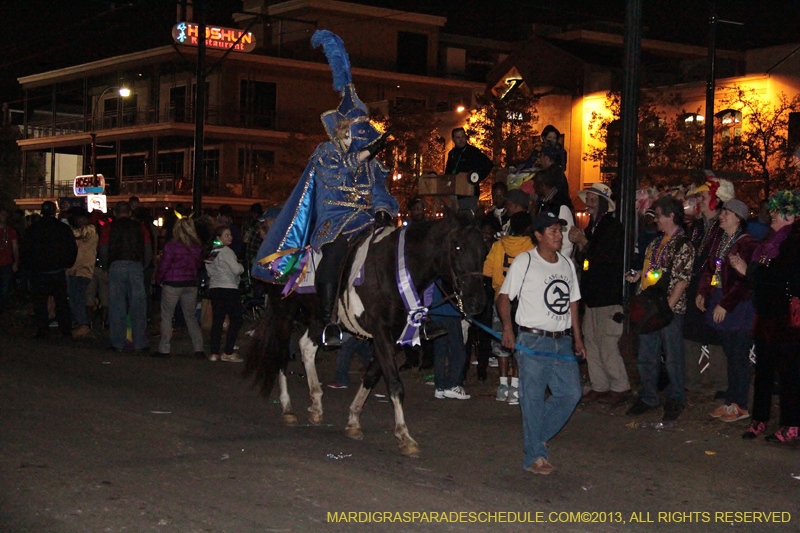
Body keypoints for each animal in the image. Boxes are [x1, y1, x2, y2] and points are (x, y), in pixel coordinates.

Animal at [242, 214, 488, 456]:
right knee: (282, 354)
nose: (476, 302)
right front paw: (405, 437)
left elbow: (371, 376)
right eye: (457, 246)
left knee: (306, 347)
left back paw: (316, 406)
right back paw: (287, 408)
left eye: (484, 249)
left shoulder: (394, 336)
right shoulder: (381, 333)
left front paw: (353, 421)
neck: (392, 271)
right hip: (285, 311)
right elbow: (395, 384)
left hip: (317, 317)